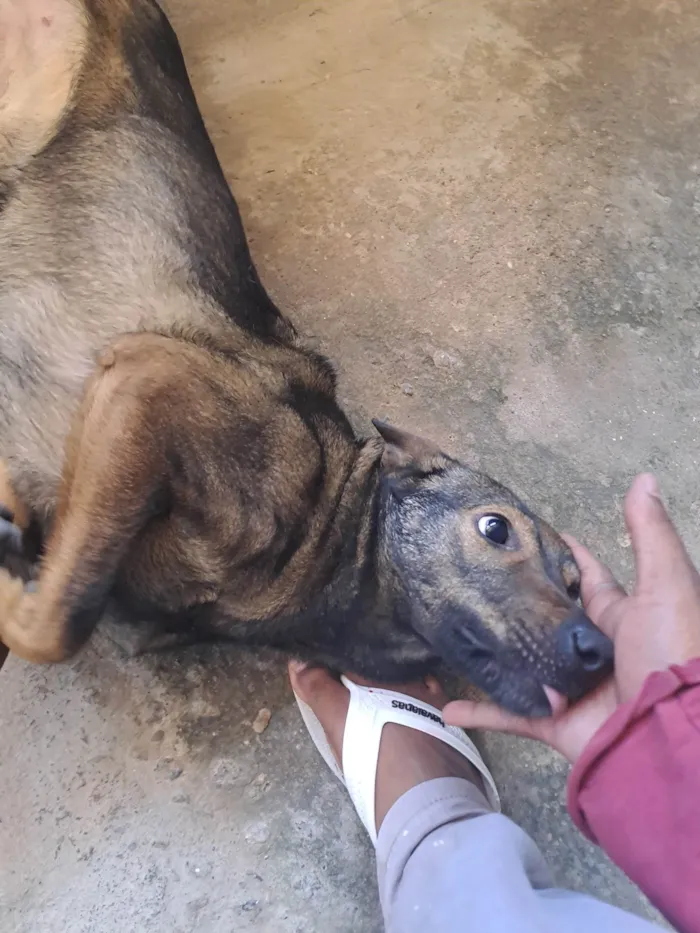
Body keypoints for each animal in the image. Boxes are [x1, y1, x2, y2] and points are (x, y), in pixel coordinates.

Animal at [0, 0, 612, 716]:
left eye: (576, 585)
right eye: (496, 529)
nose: (600, 650)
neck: (324, 533)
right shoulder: (149, 377)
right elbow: (58, 625)